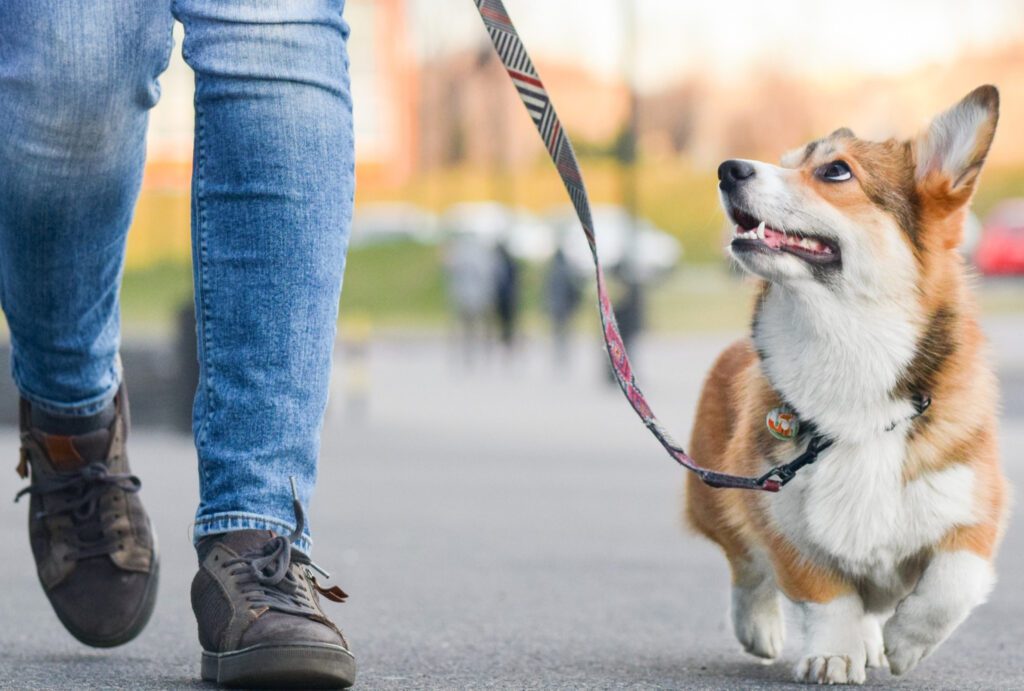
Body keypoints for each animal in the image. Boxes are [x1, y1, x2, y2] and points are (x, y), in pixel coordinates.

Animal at [688, 86, 1007, 687]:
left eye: (835, 170)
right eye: (786, 161)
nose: (728, 168)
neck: (849, 348)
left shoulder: (976, 507)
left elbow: (952, 583)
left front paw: (906, 643)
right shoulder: (778, 512)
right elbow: (826, 594)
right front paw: (834, 654)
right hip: (715, 495)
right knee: (746, 567)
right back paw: (761, 628)